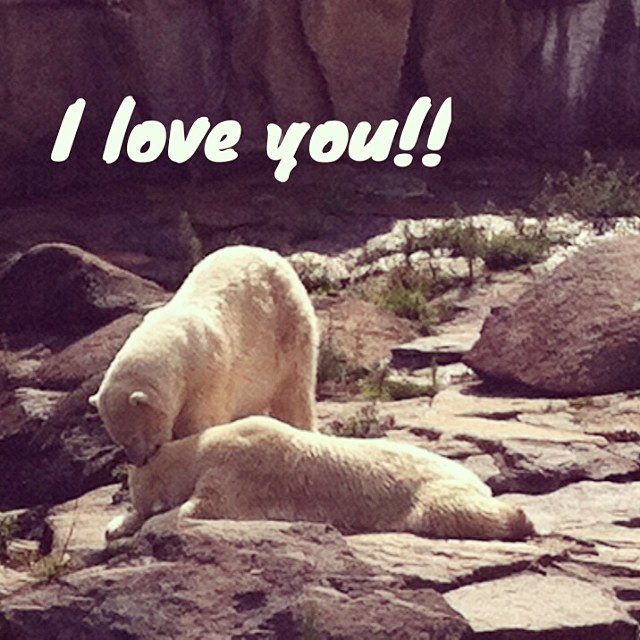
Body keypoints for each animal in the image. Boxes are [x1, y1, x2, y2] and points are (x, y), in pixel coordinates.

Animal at [89, 245, 318, 464]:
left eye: (134, 437)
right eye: (120, 441)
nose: (140, 460)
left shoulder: (208, 374)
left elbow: (201, 421)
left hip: (287, 325)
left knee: (294, 390)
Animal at [106, 416, 536, 540]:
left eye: (132, 492)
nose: (130, 507)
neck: (199, 448)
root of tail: (476, 479)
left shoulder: (238, 467)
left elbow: (205, 506)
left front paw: (152, 520)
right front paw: (116, 526)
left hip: (428, 490)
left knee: (449, 512)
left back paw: (521, 519)